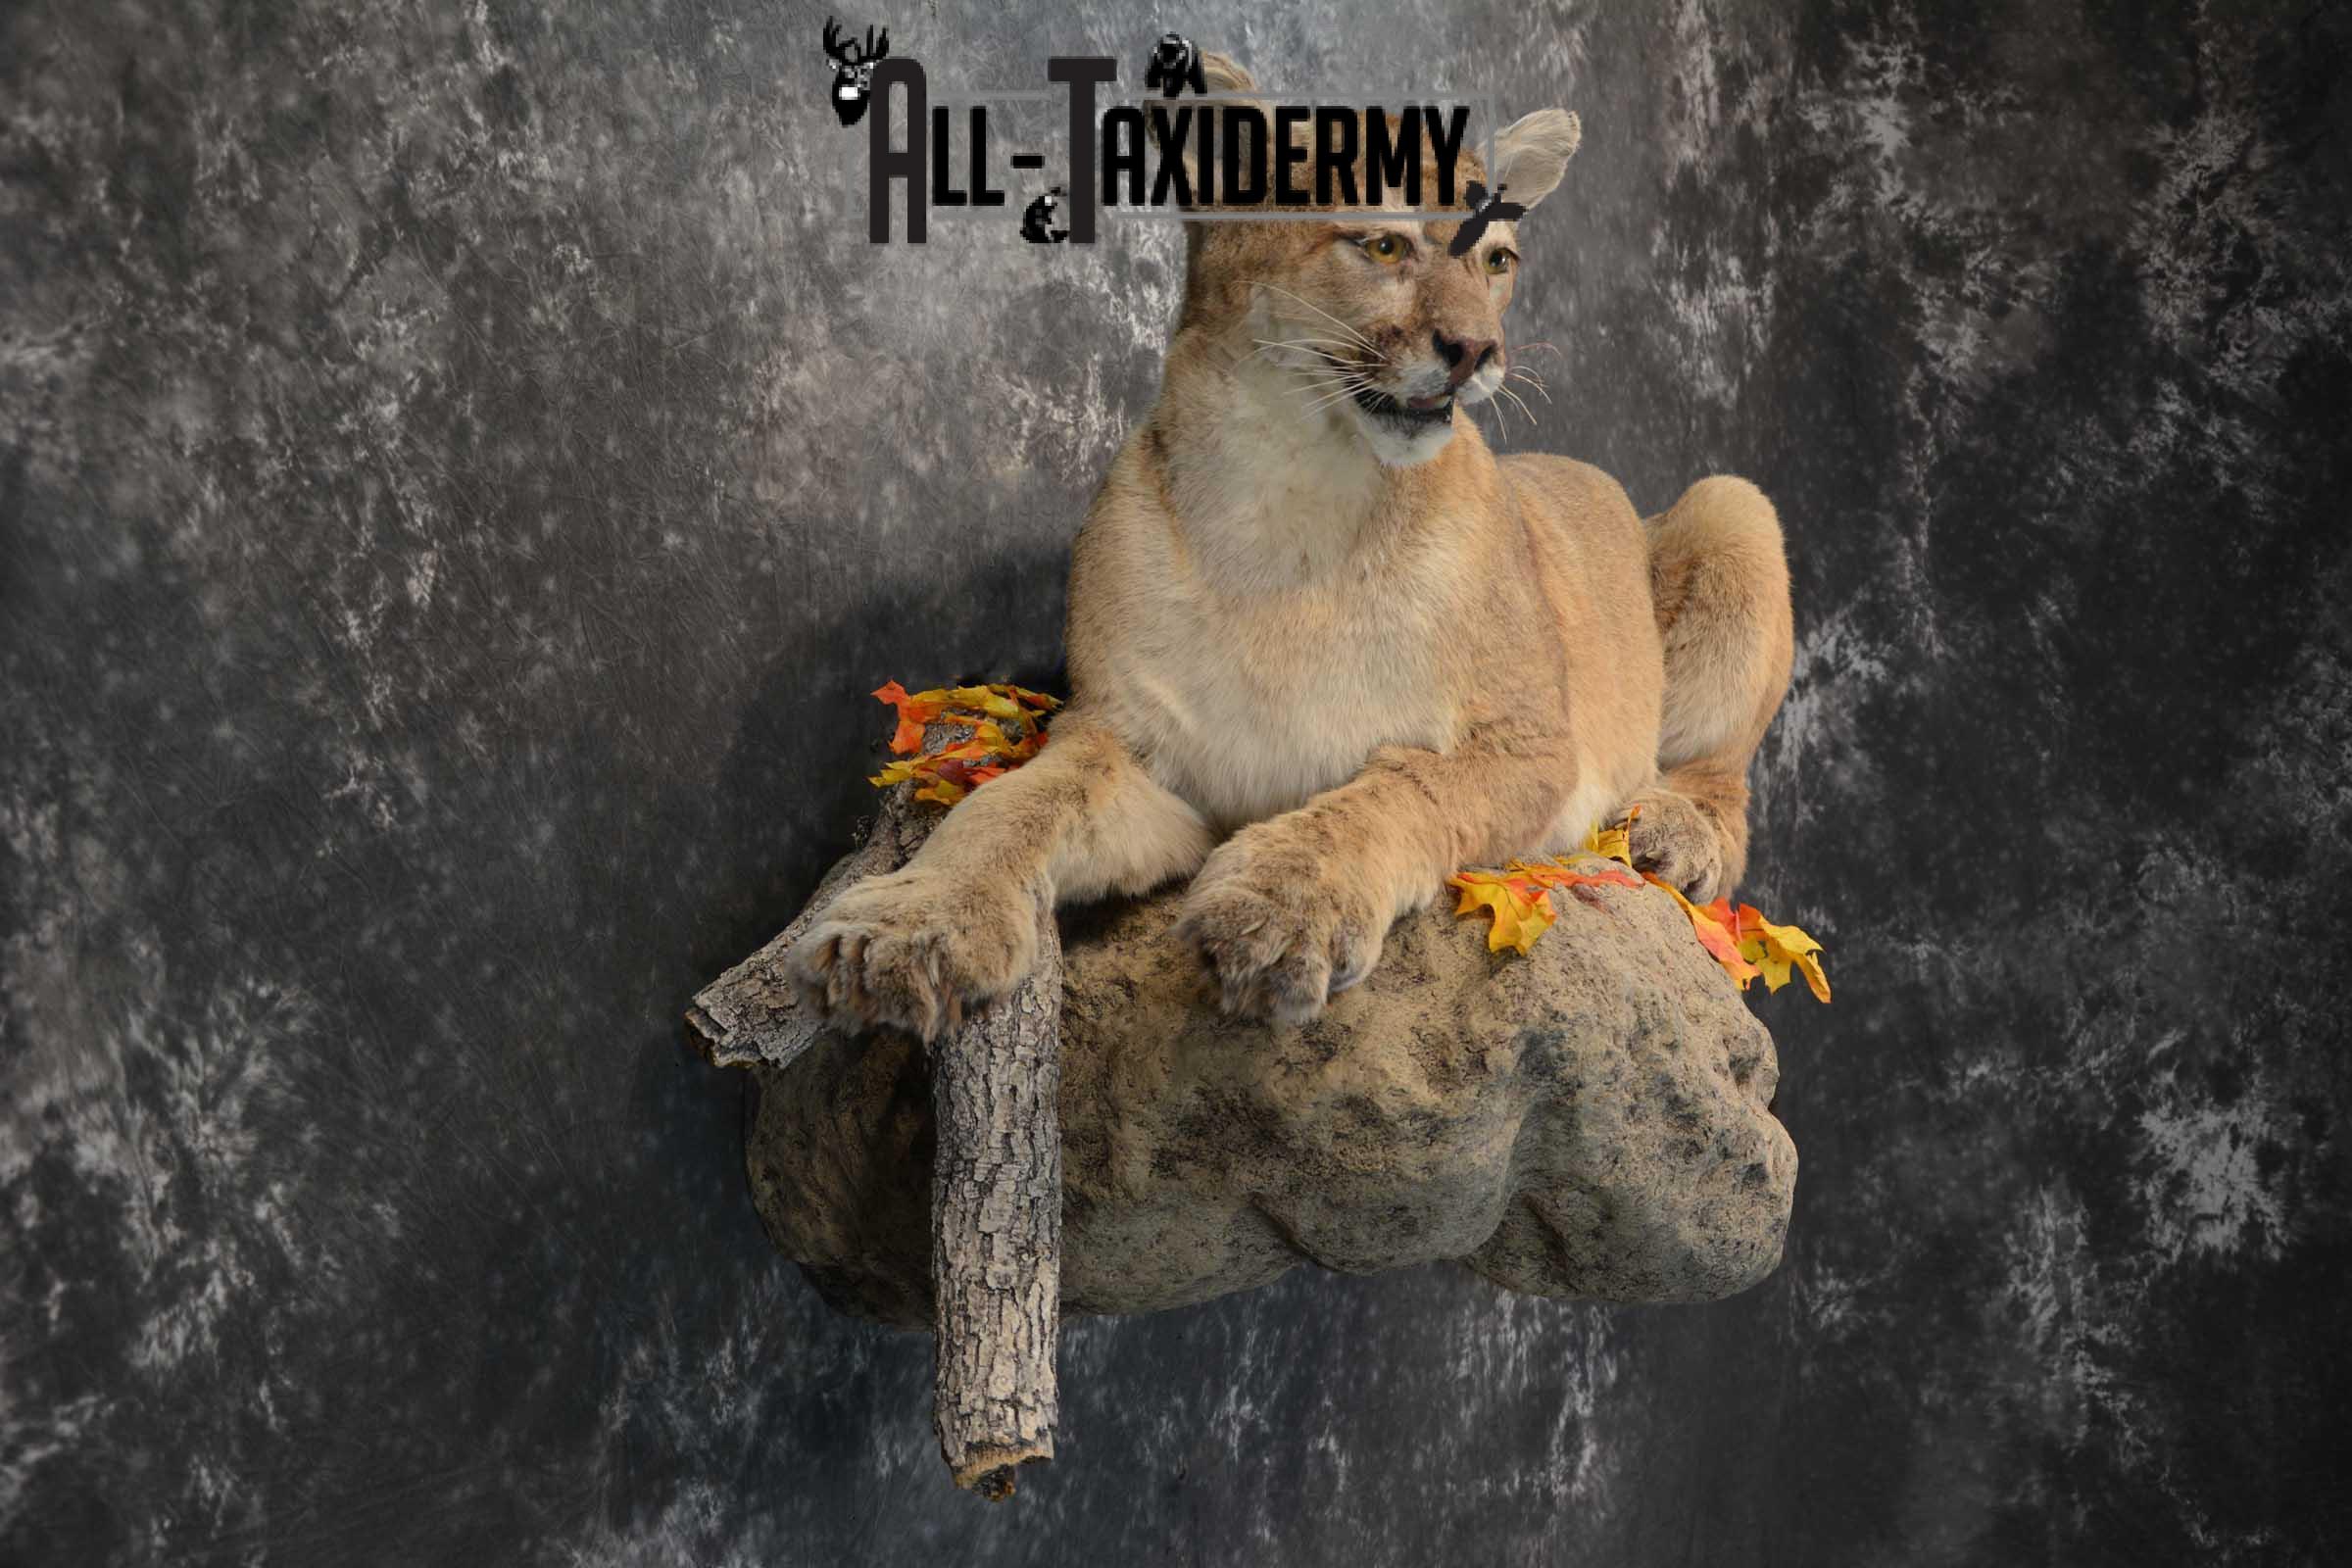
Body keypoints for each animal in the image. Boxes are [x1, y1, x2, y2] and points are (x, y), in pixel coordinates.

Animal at [793, 55, 1793, 1035]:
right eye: (1385, 247)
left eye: (1498, 261)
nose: (1479, 351)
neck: (1292, 490)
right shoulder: (1129, 739)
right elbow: (1011, 803)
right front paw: (914, 924)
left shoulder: (1529, 746)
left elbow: (1396, 789)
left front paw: (1281, 907)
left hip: (1732, 504)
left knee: (1724, 781)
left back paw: (1671, 834)